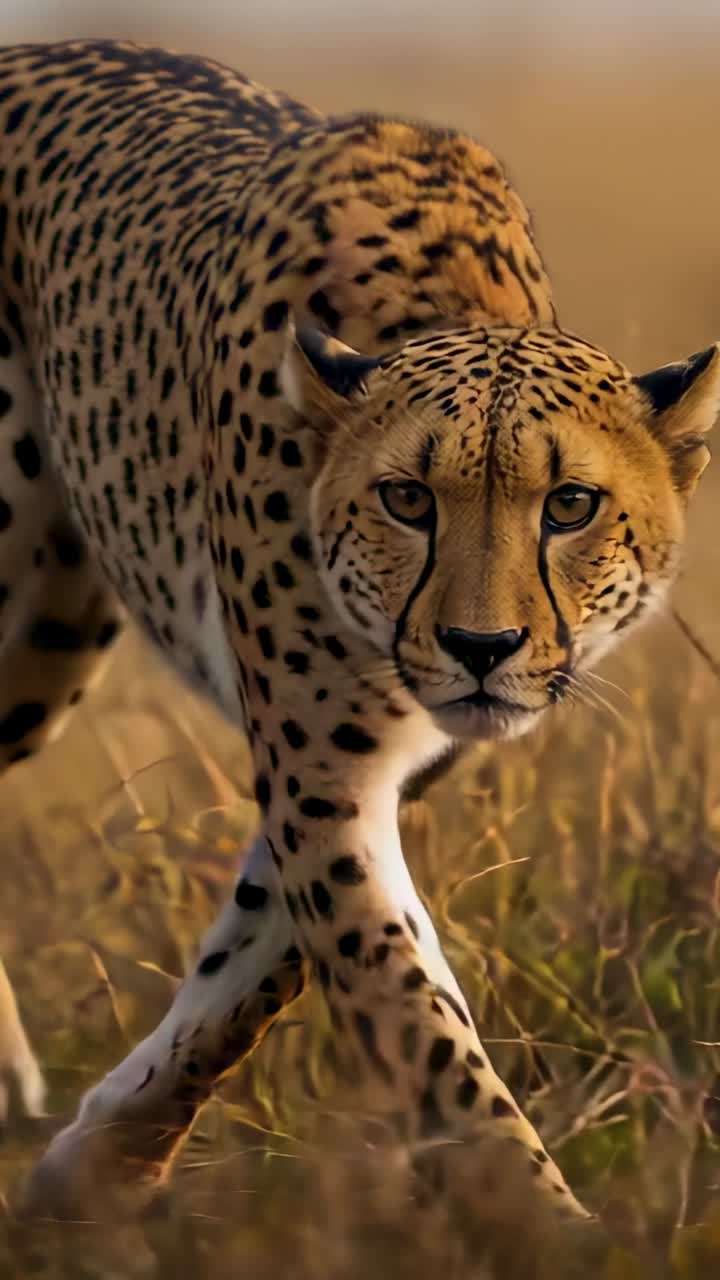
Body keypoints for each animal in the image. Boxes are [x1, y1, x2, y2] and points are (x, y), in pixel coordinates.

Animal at [0, 38, 717, 1224]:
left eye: (569, 505)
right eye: (407, 499)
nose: (483, 648)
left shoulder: (380, 769)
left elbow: (253, 974)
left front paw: (99, 1164)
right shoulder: (321, 772)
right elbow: (425, 1038)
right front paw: (554, 1228)